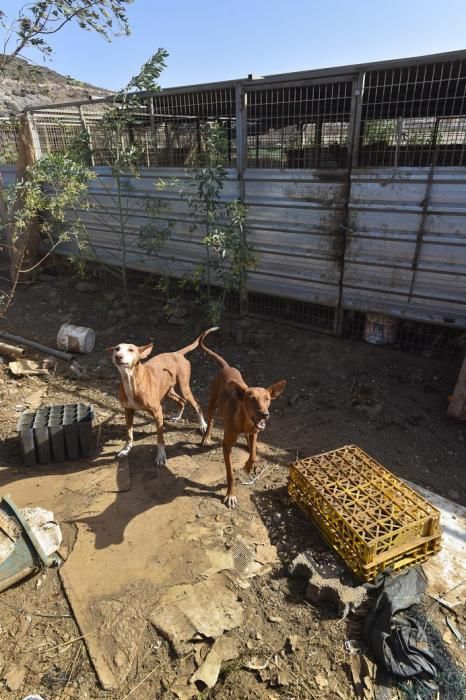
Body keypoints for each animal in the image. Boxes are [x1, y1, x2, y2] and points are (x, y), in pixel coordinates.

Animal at [108, 328, 218, 464]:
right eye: (116, 348)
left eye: (131, 350)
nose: (118, 356)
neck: (131, 380)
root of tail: (176, 353)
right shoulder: (128, 411)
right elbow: (129, 434)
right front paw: (125, 450)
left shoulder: (158, 412)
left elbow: (160, 437)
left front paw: (161, 455)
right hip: (169, 391)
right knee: (181, 401)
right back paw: (178, 416)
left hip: (184, 388)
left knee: (196, 404)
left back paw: (202, 425)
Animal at [201, 328, 286, 508]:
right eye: (251, 399)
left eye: (267, 399)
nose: (265, 414)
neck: (244, 422)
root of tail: (227, 367)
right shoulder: (226, 446)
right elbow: (230, 473)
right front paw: (230, 495)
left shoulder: (255, 432)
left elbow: (253, 455)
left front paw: (248, 465)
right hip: (212, 402)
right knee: (210, 420)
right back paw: (206, 437)